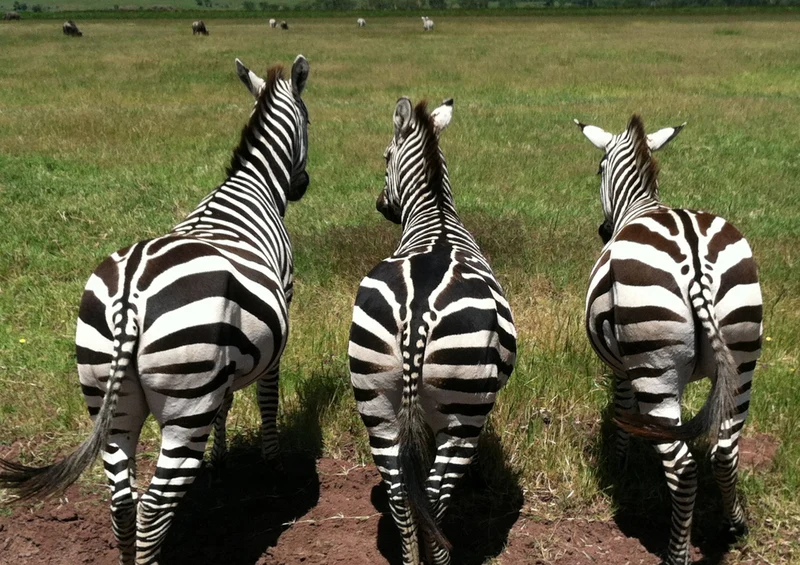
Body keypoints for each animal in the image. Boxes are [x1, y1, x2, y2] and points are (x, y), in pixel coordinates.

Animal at [0, 55, 311, 565]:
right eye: (309, 121)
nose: (301, 186)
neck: (252, 188)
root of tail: (130, 296)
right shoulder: (279, 316)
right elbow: (268, 399)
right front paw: (273, 466)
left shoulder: (225, 361)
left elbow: (226, 404)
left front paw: (221, 463)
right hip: (185, 404)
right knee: (154, 504)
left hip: (110, 398)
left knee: (123, 500)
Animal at [349, 98, 516, 565]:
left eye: (384, 156)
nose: (380, 205)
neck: (436, 216)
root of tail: (417, 310)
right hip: (465, 414)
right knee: (435, 495)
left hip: (375, 398)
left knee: (402, 493)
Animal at [576, 115, 762, 565]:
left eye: (598, 169)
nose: (603, 230)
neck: (639, 206)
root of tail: (696, 262)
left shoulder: (622, 367)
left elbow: (623, 410)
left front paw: (620, 465)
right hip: (743, 358)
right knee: (725, 451)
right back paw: (734, 524)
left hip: (653, 369)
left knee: (682, 468)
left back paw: (676, 554)